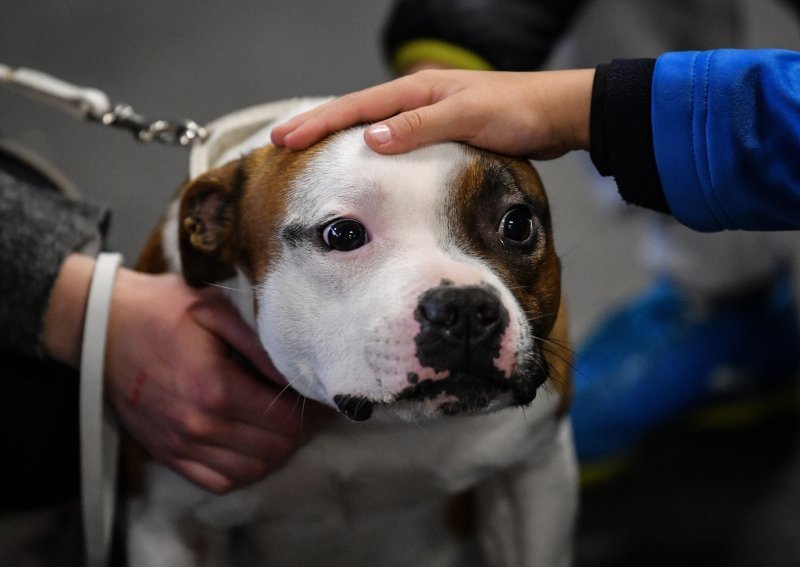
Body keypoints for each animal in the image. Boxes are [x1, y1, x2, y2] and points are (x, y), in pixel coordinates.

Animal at [131, 100, 580, 567]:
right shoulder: (165, 522)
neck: (366, 427)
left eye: (517, 224)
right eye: (343, 234)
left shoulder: (533, 471)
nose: (466, 309)